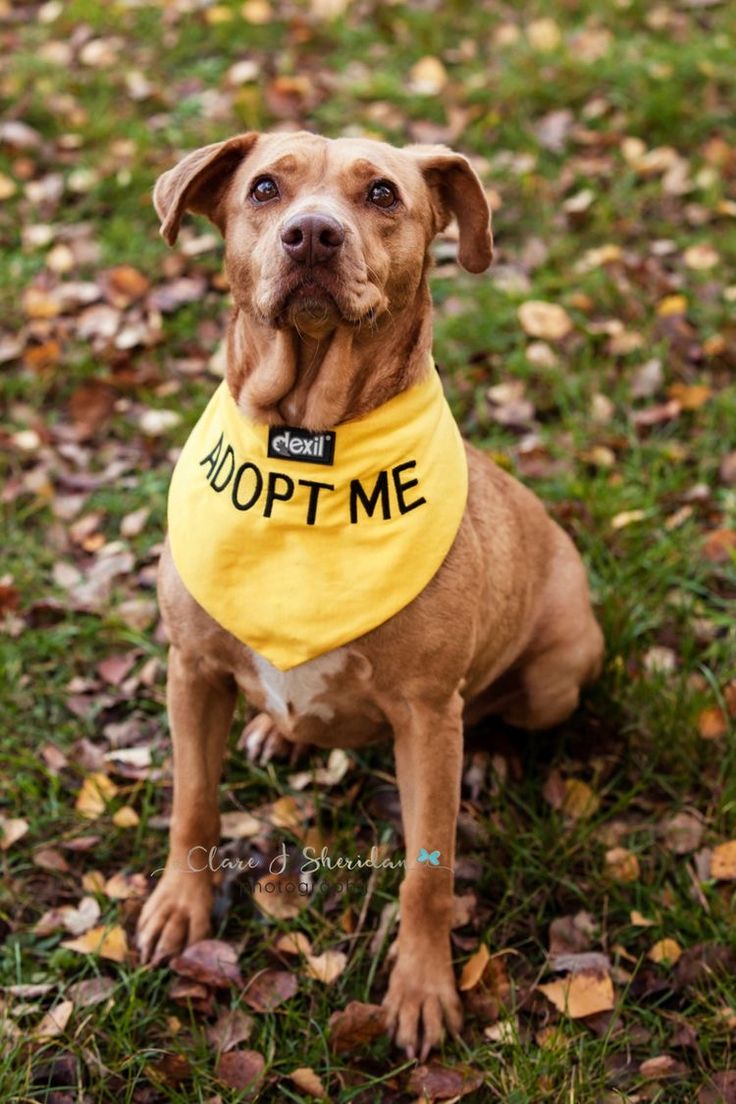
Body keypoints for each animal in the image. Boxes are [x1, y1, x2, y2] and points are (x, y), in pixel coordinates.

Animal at [137, 131, 604, 1059]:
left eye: (383, 194)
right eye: (265, 188)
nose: (312, 235)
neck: (310, 448)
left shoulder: (424, 715)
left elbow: (429, 872)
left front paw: (423, 991)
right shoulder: (192, 668)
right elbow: (193, 807)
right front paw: (180, 907)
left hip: (556, 673)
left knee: (505, 710)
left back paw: (490, 755)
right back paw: (275, 732)